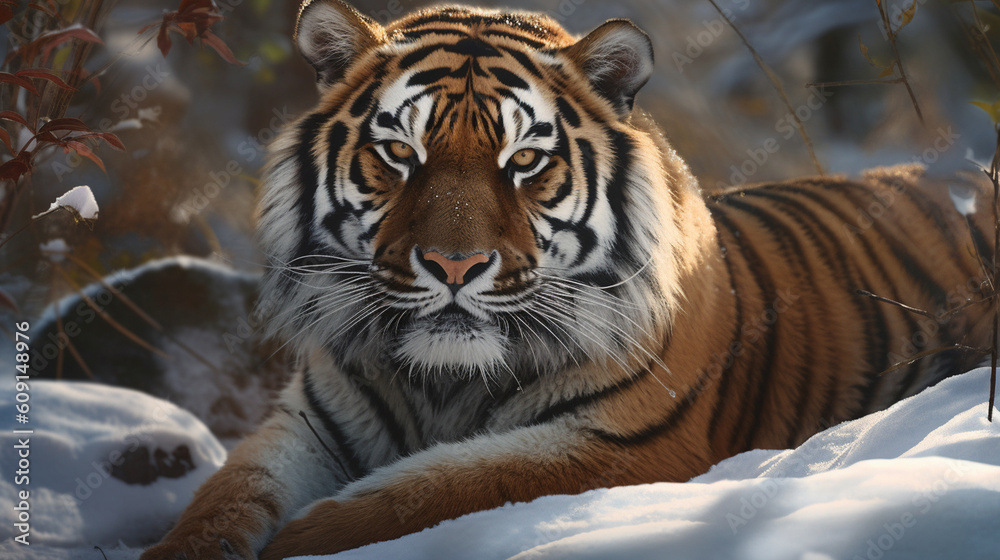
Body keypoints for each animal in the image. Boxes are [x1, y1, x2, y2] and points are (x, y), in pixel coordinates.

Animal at [141, 1, 994, 558]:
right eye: (401, 154)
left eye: (524, 161)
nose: (454, 267)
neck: (442, 383)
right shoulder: (308, 425)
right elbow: (222, 501)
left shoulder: (618, 446)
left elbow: (433, 488)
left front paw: (305, 539)